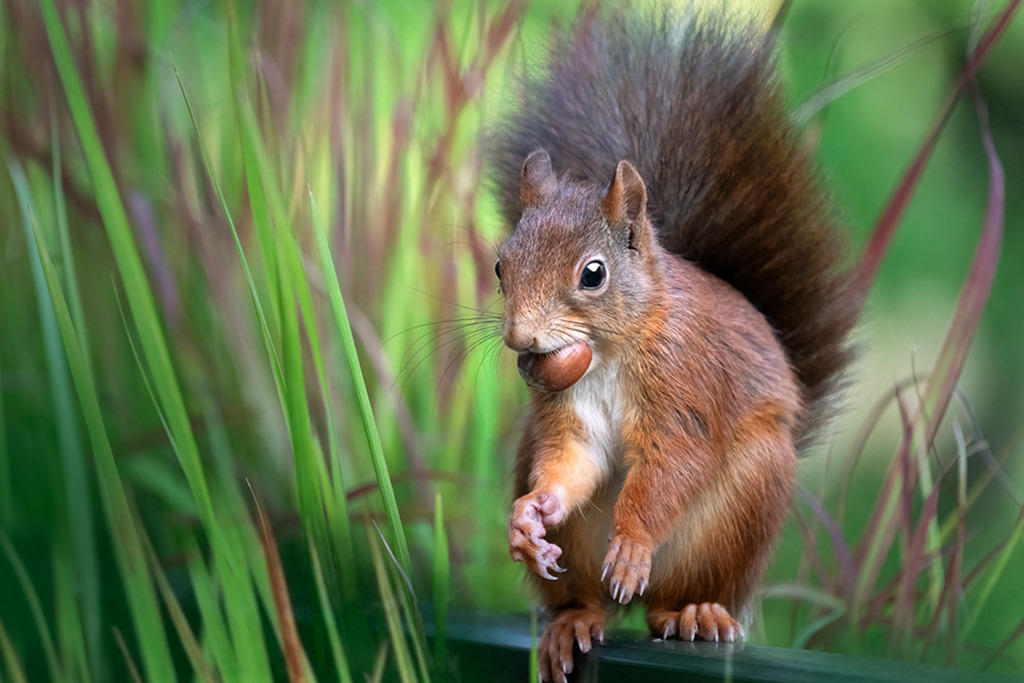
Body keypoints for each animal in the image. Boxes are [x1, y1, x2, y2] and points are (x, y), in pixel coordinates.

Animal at [487, 4, 859, 682]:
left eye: (593, 273)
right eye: (502, 266)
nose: (520, 339)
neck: (610, 354)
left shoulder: (685, 387)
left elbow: (671, 467)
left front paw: (634, 540)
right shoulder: (567, 415)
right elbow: (573, 462)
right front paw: (530, 515)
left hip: (739, 511)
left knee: (669, 602)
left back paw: (694, 613)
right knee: (589, 601)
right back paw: (573, 619)